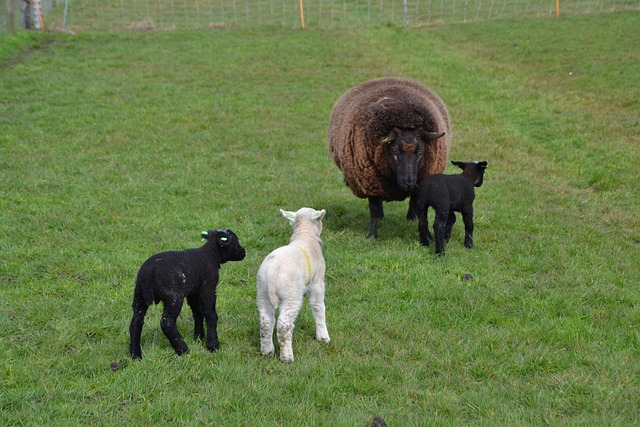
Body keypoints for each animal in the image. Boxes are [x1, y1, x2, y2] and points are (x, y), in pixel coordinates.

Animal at [129, 229, 246, 360]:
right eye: (235, 242)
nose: (244, 252)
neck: (211, 255)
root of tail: (149, 272)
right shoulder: (208, 289)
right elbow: (210, 314)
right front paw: (212, 344)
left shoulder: (193, 292)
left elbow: (197, 313)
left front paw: (198, 337)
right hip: (173, 296)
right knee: (167, 322)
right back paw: (182, 349)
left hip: (139, 296)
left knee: (136, 321)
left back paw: (135, 354)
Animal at [258, 209, 332, 362]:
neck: (305, 236)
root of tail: (272, 271)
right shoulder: (318, 282)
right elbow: (318, 307)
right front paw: (323, 337)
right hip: (291, 296)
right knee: (283, 326)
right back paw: (287, 357)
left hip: (262, 292)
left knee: (266, 322)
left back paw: (267, 351)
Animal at [328, 77, 452, 237]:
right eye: (394, 151)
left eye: (421, 152)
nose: (408, 181)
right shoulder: (371, 182)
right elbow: (374, 209)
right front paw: (372, 236)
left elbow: (419, 208)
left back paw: (410, 218)